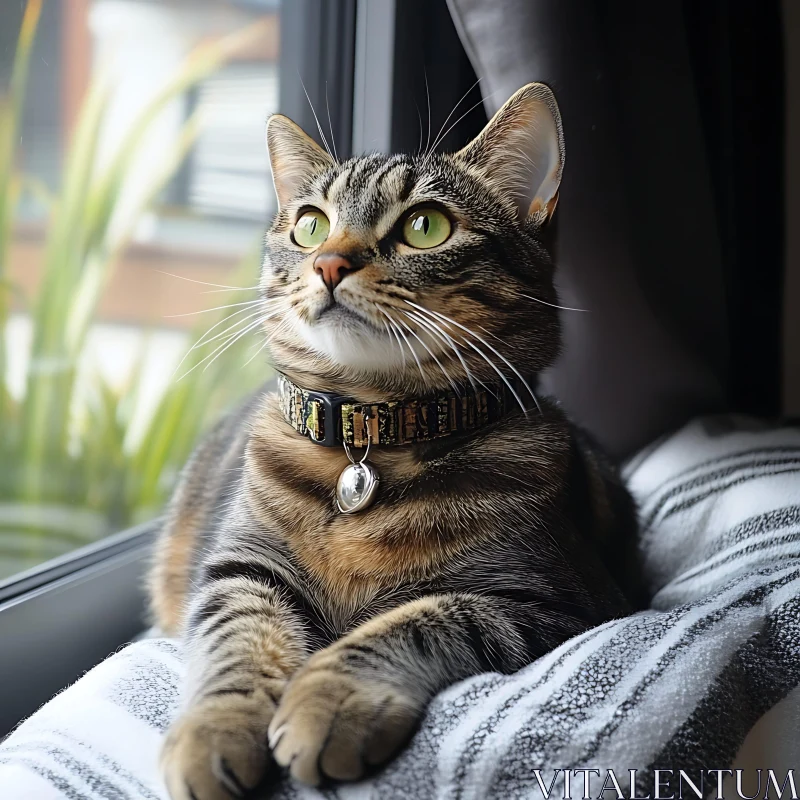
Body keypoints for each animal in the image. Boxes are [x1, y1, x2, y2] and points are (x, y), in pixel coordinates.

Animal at [148, 84, 636, 796]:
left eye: (425, 226)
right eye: (310, 225)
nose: (328, 262)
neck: (371, 443)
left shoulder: (553, 600)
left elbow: (417, 622)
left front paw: (332, 700)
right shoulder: (243, 566)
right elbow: (238, 637)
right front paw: (216, 726)